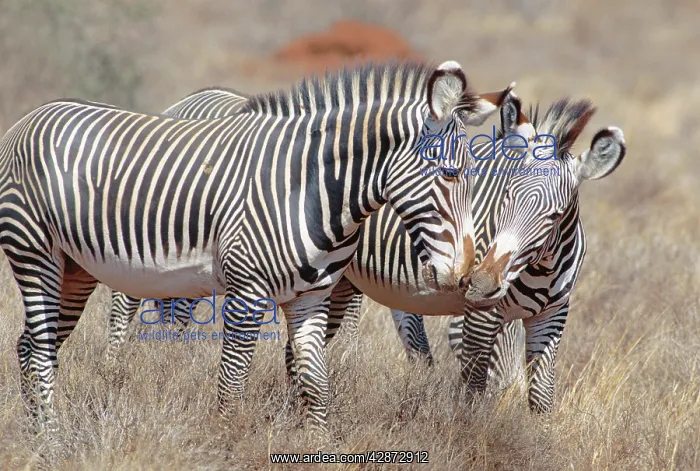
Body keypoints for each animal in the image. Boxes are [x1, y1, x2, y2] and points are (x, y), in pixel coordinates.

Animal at [460, 98, 627, 412]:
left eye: (556, 215)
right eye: (508, 196)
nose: (482, 285)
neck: (542, 270)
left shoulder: (552, 316)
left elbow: (541, 396)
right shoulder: (480, 316)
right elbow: (473, 389)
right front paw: (464, 423)